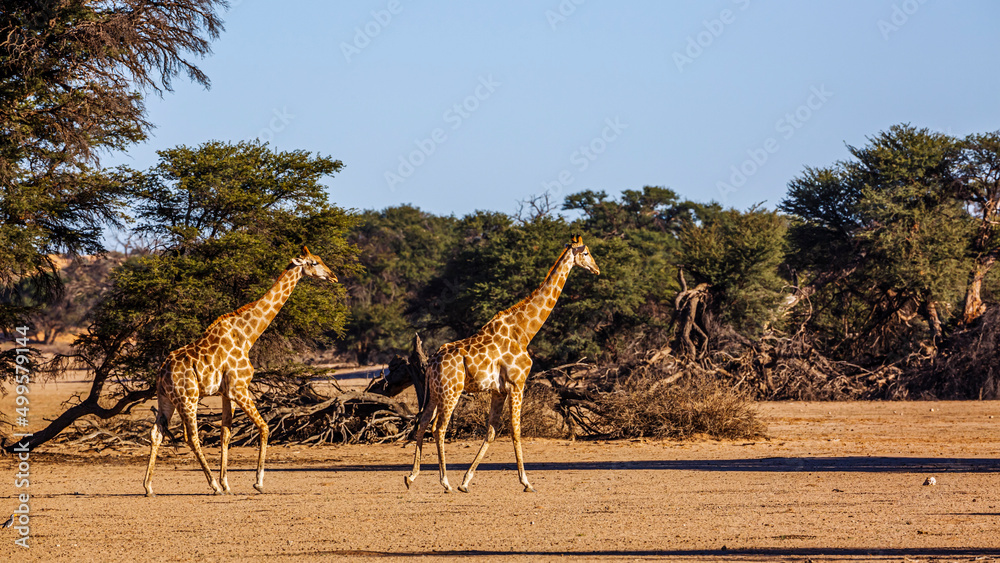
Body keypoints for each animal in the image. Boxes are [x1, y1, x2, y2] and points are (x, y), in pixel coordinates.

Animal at [143, 246, 336, 496]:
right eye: (314, 262)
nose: (333, 276)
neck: (247, 336)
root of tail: (161, 373)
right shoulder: (239, 388)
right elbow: (264, 427)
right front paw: (258, 482)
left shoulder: (227, 393)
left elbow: (225, 434)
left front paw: (227, 483)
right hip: (188, 398)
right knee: (192, 437)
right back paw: (212, 485)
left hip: (166, 398)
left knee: (156, 432)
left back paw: (149, 487)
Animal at [405, 234, 600, 493]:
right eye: (586, 253)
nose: (597, 269)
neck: (525, 331)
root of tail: (431, 363)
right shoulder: (517, 384)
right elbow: (516, 431)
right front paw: (526, 482)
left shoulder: (498, 390)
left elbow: (492, 432)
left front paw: (466, 481)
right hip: (451, 391)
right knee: (439, 428)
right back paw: (444, 481)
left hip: (435, 393)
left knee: (423, 422)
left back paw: (411, 476)